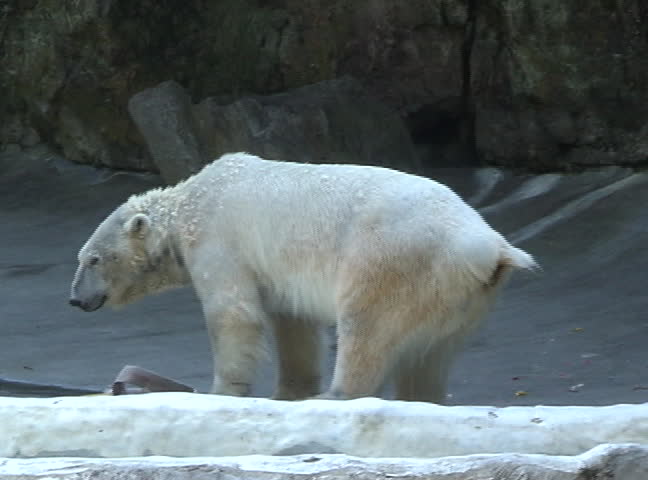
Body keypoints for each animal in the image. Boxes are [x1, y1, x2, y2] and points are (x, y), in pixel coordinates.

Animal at [70, 152, 537, 403]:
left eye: (93, 259)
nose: (75, 300)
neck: (188, 205)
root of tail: (489, 247)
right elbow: (293, 324)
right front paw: (289, 391)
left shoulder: (219, 240)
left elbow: (233, 314)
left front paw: (222, 391)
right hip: (457, 296)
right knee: (429, 357)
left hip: (395, 258)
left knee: (366, 327)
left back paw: (335, 394)